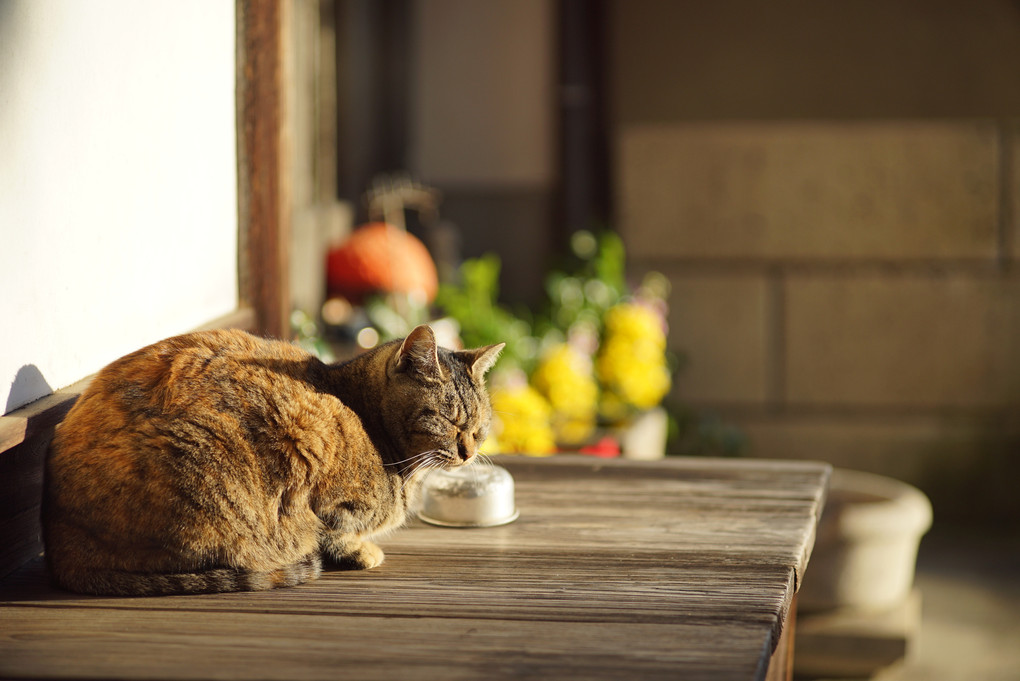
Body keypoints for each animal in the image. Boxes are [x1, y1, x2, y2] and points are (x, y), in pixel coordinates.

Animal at [44, 324, 505, 595]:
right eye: (448, 419)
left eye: (479, 425)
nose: (469, 451)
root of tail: (60, 547)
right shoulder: (320, 467)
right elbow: (334, 531)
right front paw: (360, 552)